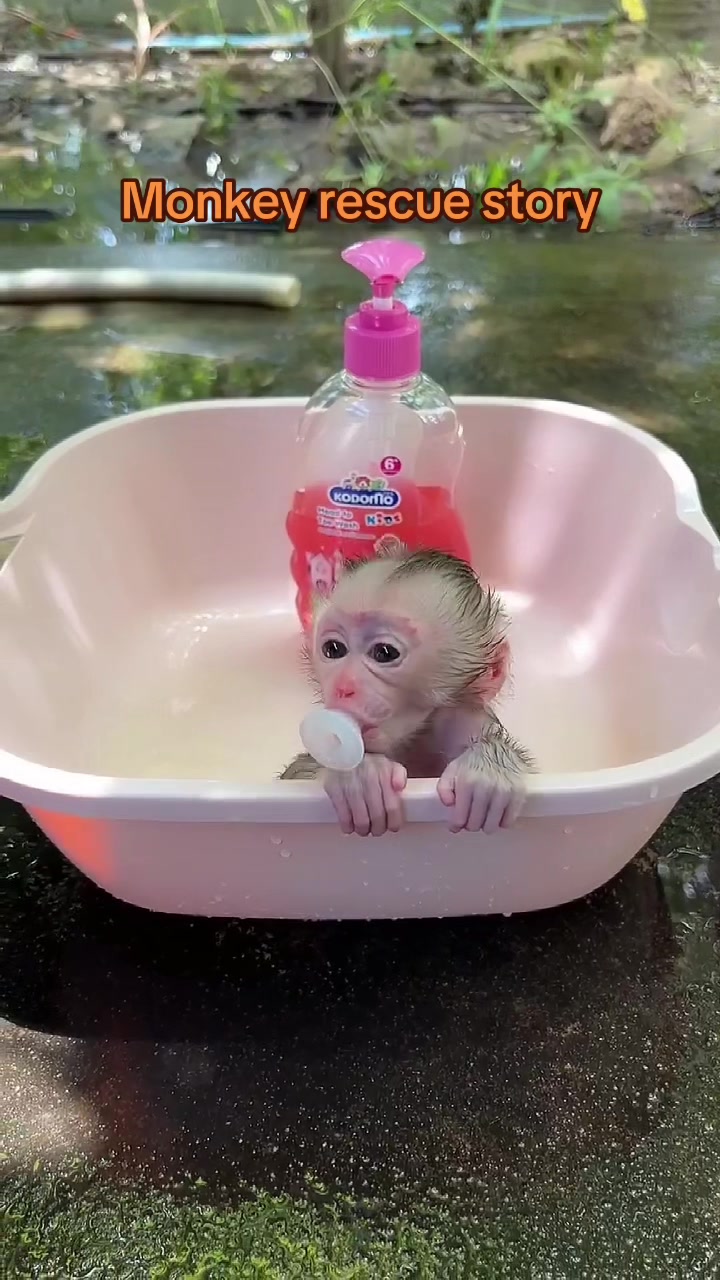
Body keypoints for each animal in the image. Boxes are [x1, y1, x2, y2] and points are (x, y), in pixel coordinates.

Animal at [280, 547, 536, 838]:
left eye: (384, 652)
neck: (414, 741)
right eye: (333, 649)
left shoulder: (465, 719)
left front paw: (488, 770)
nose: (343, 687)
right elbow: (297, 772)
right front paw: (359, 777)